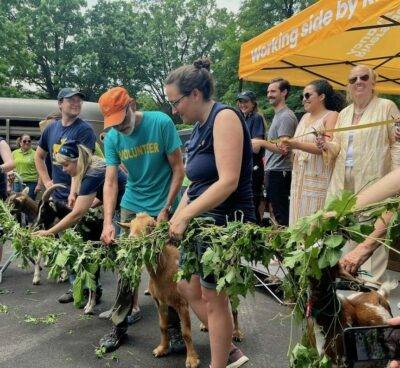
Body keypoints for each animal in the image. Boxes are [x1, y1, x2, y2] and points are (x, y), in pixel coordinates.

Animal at [119, 213, 199, 368]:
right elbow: (162, 326)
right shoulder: (160, 301)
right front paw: (162, 349)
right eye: (130, 225)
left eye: (151, 226)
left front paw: (192, 359)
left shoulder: (181, 303)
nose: (132, 240)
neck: (164, 269)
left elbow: (186, 332)